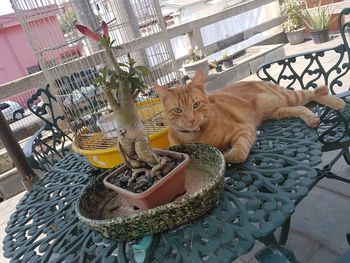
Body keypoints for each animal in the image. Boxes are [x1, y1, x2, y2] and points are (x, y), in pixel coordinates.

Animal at [154, 71, 346, 164]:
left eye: (196, 105)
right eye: (178, 110)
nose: (191, 120)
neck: (196, 135)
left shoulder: (243, 130)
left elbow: (237, 154)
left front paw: (227, 154)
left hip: (286, 97)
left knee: (313, 92)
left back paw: (337, 102)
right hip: (276, 111)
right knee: (300, 107)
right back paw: (311, 118)